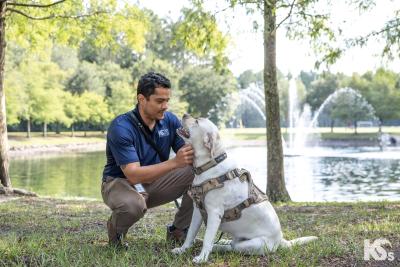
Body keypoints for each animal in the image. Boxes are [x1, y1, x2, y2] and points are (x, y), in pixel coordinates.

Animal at [173, 114, 318, 264]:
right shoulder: (198, 210)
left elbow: (207, 238)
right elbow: (190, 233)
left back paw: (218, 246)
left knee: (232, 247)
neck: (210, 164)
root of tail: (280, 240)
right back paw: (220, 243)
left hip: (249, 244)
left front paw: (202, 258)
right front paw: (183, 250)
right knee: (229, 244)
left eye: (197, 121)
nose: (184, 115)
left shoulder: (214, 213)